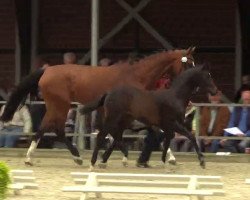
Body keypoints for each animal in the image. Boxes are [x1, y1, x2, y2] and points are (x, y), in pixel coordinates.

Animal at [0, 47, 195, 166]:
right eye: (187, 63)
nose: (193, 86)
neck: (135, 76)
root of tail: (46, 70)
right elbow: (121, 133)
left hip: (57, 106)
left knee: (48, 129)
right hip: (60, 105)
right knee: (54, 129)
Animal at [80, 65, 217, 169]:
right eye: (207, 75)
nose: (215, 91)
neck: (175, 96)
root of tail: (109, 93)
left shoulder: (169, 126)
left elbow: (168, 140)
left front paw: (165, 161)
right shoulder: (172, 123)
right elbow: (190, 136)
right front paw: (202, 162)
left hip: (123, 122)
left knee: (116, 138)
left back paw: (109, 160)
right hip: (113, 119)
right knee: (101, 136)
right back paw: (93, 163)